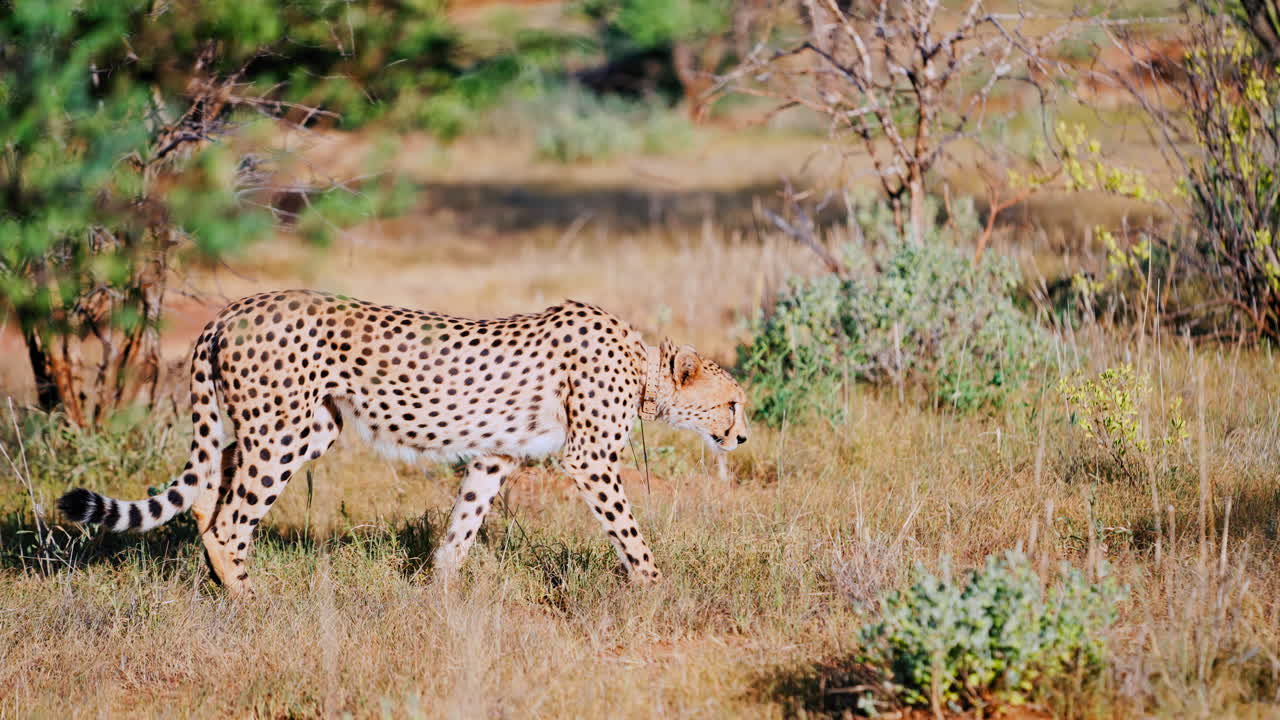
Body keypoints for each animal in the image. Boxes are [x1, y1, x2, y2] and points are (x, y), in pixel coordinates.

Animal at [58, 290, 748, 596]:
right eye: (732, 401)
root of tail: (234, 308)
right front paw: (659, 590)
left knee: (212, 480)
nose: (741, 435)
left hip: (309, 427)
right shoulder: (589, 460)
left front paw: (438, 590)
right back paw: (250, 599)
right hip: (282, 430)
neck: (642, 366)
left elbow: (463, 522)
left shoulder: (494, 455)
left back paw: (215, 560)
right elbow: (629, 532)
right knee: (232, 518)